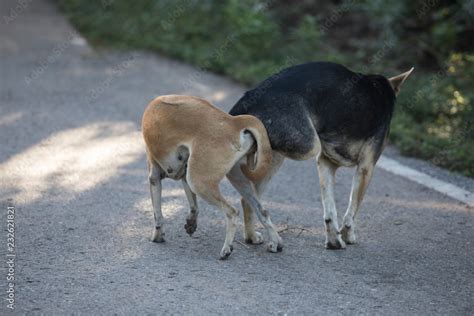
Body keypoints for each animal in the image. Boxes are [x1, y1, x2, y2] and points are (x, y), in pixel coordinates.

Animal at [141, 95, 282, 260]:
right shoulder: (185, 176)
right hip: (237, 177)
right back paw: (275, 242)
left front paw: (157, 236)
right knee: (262, 211)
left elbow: (158, 215)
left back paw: (227, 248)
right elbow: (194, 207)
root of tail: (234, 121)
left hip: (199, 182)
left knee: (231, 212)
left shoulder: (155, 178)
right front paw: (191, 222)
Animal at [226, 61, 412, 249]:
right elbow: (351, 211)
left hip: (275, 155)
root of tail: (249, 97)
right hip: (306, 145)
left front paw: (334, 240)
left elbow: (330, 212)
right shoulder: (366, 168)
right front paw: (347, 235)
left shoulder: (325, 162)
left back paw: (251, 236)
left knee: (248, 198)